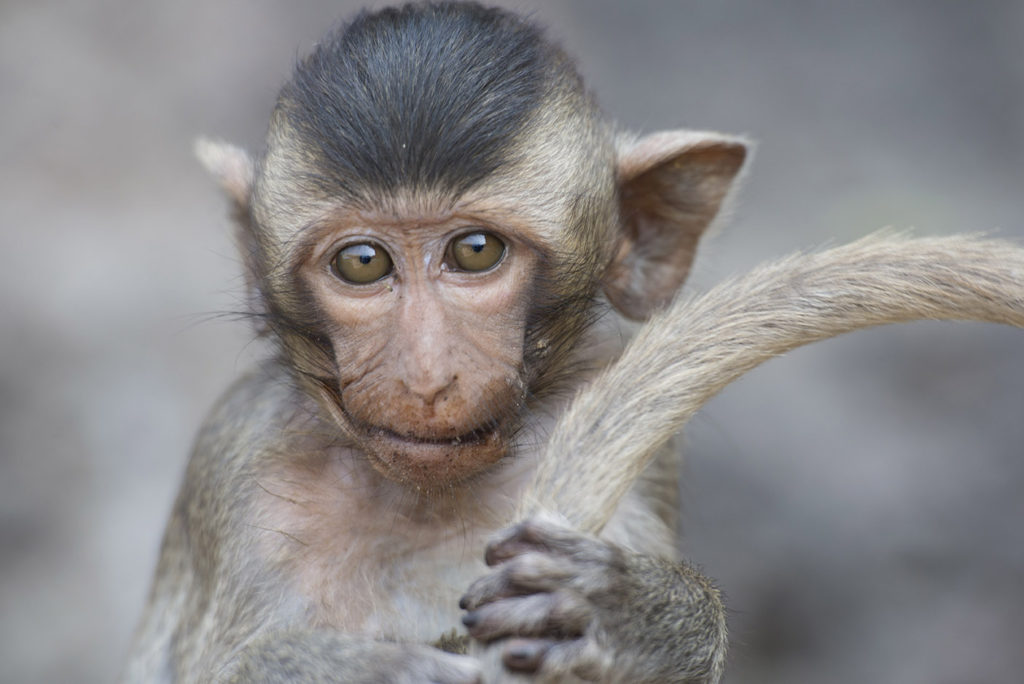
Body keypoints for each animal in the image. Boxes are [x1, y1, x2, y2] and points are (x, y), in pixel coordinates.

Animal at [125, 5, 745, 684]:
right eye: (362, 262)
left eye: (476, 251)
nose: (426, 377)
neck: (423, 503)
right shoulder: (242, 466)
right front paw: (389, 669)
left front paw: (630, 615)